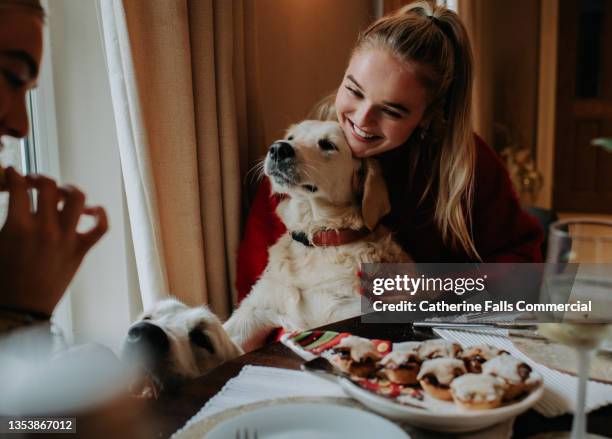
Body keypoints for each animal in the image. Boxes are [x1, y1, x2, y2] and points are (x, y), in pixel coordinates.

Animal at [222, 121, 408, 354]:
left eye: (327, 144)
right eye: (291, 138)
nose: (278, 149)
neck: (318, 242)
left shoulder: (343, 311)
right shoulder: (253, 310)